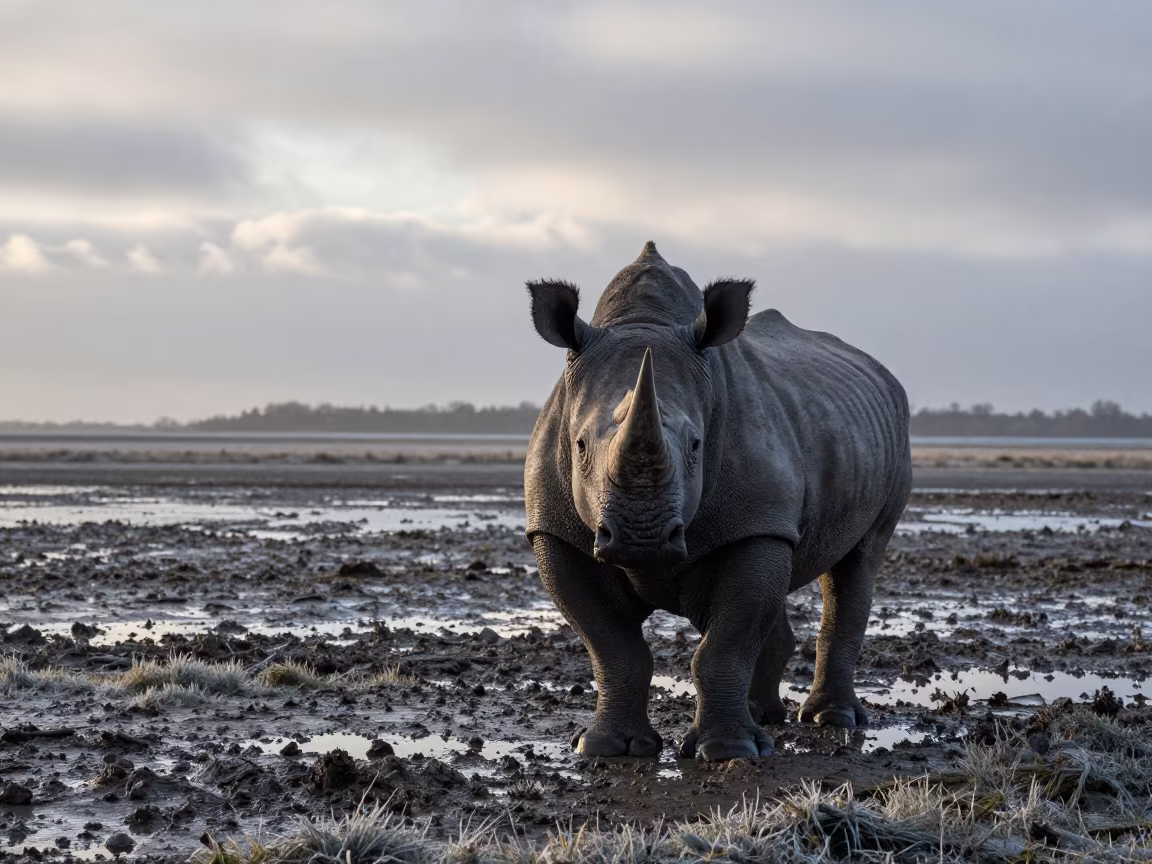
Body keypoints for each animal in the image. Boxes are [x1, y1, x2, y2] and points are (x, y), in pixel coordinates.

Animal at [524, 242, 911, 761]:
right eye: (580, 445)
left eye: (696, 446)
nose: (641, 538)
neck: (642, 321)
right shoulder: (557, 530)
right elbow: (612, 646)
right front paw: (607, 748)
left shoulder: (757, 522)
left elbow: (725, 643)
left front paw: (730, 752)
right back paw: (765, 716)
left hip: (891, 435)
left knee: (858, 562)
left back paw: (831, 720)